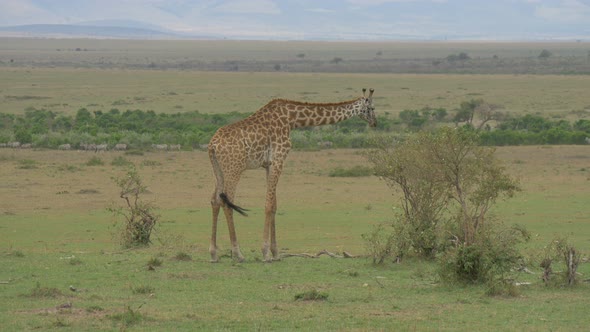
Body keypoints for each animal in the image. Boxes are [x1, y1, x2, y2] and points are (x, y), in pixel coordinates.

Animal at [206, 87, 376, 262]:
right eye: (372, 108)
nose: (374, 123)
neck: (292, 119)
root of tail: (212, 145)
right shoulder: (279, 158)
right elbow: (268, 205)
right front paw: (266, 253)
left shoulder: (268, 164)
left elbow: (274, 205)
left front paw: (275, 252)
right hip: (234, 168)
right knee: (227, 201)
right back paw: (238, 254)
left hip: (218, 170)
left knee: (215, 200)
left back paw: (213, 253)